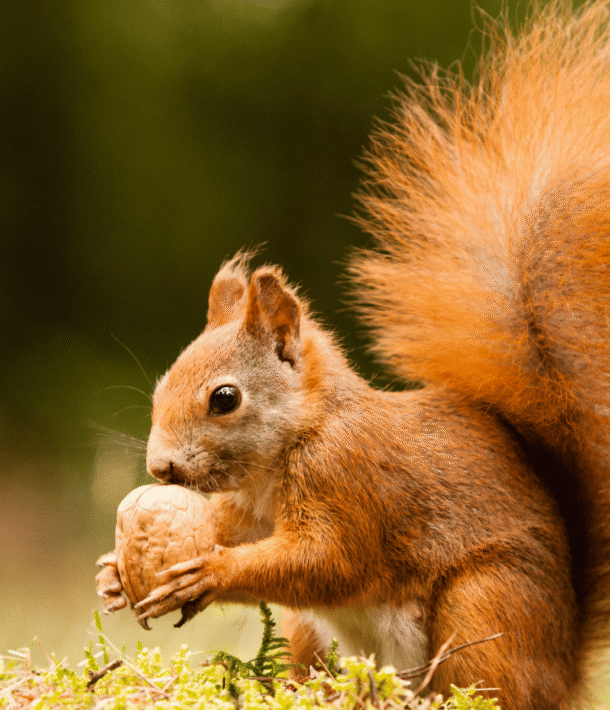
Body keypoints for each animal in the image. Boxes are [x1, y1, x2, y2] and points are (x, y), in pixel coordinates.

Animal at [96, 1, 610, 708]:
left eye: (224, 399)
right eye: (159, 389)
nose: (161, 468)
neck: (292, 444)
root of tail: (562, 669)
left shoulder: (348, 478)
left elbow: (327, 561)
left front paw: (211, 573)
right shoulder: (247, 510)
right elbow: (236, 531)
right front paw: (112, 574)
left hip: (487, 603)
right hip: (313, 632)